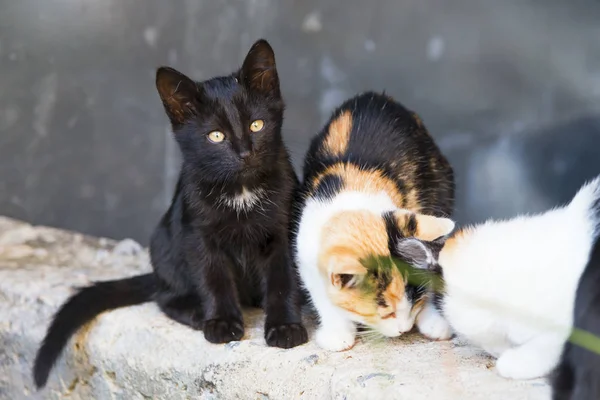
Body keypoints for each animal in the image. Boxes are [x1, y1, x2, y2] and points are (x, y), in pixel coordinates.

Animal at [32, 39, 308, 390]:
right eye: (216, 136)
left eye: (256, 125)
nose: (245, 152)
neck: (241, 190)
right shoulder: (197, 234)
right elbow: (214, 277)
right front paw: (221, 321)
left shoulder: (285, 228)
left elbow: (282, 279)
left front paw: (285, 327)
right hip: (165, 240)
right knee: (165, 295)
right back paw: (196, 312)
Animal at [292, 92, 458, 352]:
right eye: (386, 311)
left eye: (413, 302)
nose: (404, 329)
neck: (352, 198)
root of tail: (378, 96)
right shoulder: (305, 253)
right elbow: (321, 295)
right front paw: (338, 334)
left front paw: (430, 319)